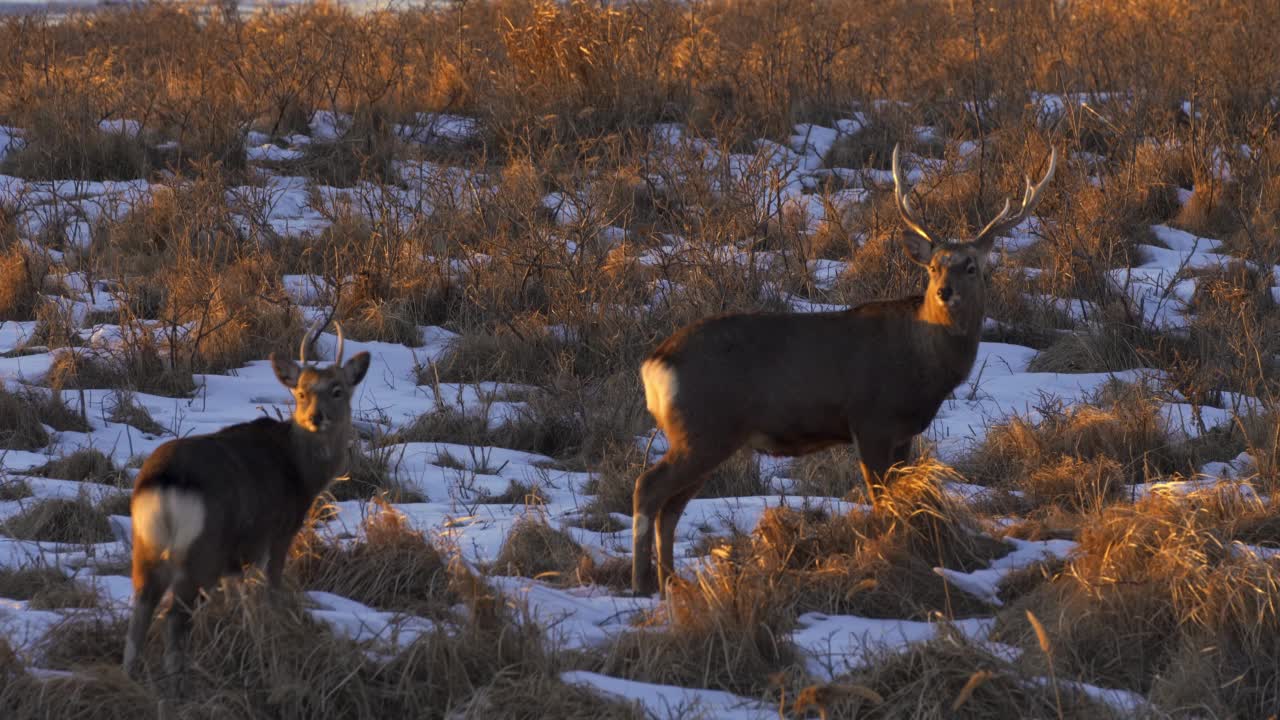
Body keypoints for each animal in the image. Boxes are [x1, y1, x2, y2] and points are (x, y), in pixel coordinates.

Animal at [122, 317, 371, 676]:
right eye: (301, 392)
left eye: (337, 390)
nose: (315, 417)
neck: (302, 472)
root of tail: (166, 480)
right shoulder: (280, 530)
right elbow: (270, 590)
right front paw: (275, 635)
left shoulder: (237, 555)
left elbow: (236, 597)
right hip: (202, 546)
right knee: (174, 614)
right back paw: (176, 677)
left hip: (146, 543)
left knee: (141, 608)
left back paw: (132, 674)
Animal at [632, 141, 1059, 594]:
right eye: (933, 267)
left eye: (971, 266)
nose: (944, 291)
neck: (922, 361)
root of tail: (655, 363)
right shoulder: (870, 420)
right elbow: (881, 501)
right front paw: (888, 556)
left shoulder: (904, 434)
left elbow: (901, 496)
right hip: (704, 427)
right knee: (649, 487)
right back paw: (642, 584)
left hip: (707, 435)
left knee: (671, 505)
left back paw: (671, 582)